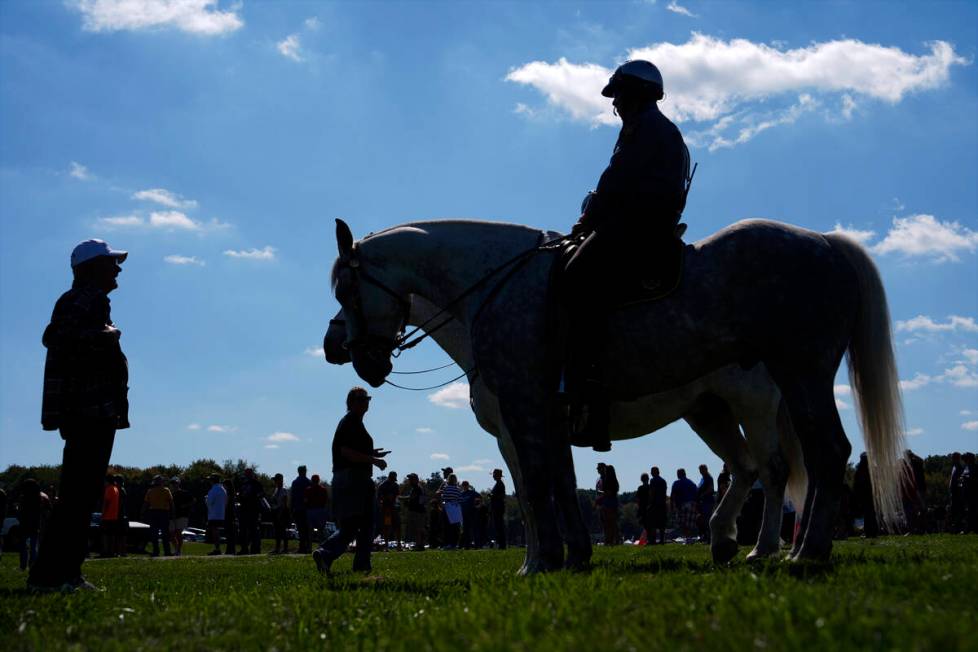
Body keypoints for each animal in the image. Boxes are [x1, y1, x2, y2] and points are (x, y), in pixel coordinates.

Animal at [324, 218, 904, 572]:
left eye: (346, 290)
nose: (339, 350)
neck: (493, 292)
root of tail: (823, 241)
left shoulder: (523, 415)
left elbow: (534, 491)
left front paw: (539, 562)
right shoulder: (542, 423)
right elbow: (555, 486)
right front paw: (571, 556)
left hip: (784, 386)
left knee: (796, 461)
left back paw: (789, 551)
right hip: (712, 412)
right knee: (752, 468)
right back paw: (734, 541)